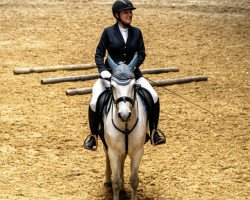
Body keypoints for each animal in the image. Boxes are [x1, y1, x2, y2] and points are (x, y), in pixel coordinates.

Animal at [102, 53, 147, 200]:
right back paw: (107, 180)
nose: (124, 114)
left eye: (134, 86)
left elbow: (134, 180)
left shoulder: (138, 151)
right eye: (112, 86)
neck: (126, 124)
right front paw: (115, 185)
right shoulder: (113, 151)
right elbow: (116, 182)